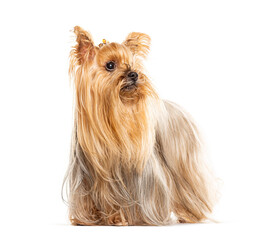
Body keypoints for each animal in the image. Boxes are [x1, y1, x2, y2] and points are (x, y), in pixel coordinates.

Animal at [62, 26, 215, 225]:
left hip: (185, 164)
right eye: (110, 65)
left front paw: (122, 218)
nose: (134, 74)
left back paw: (191, 215)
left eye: (132, 63)